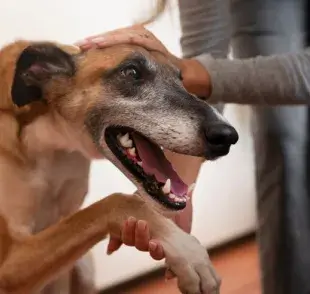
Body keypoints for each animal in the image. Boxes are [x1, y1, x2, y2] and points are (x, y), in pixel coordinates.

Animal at [0, 39, 237, 294]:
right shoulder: (10, 263)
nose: (227, 136)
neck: (50, 145)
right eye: (132, 72)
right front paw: (189, 254)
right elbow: (118, 201)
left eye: (181, 79)